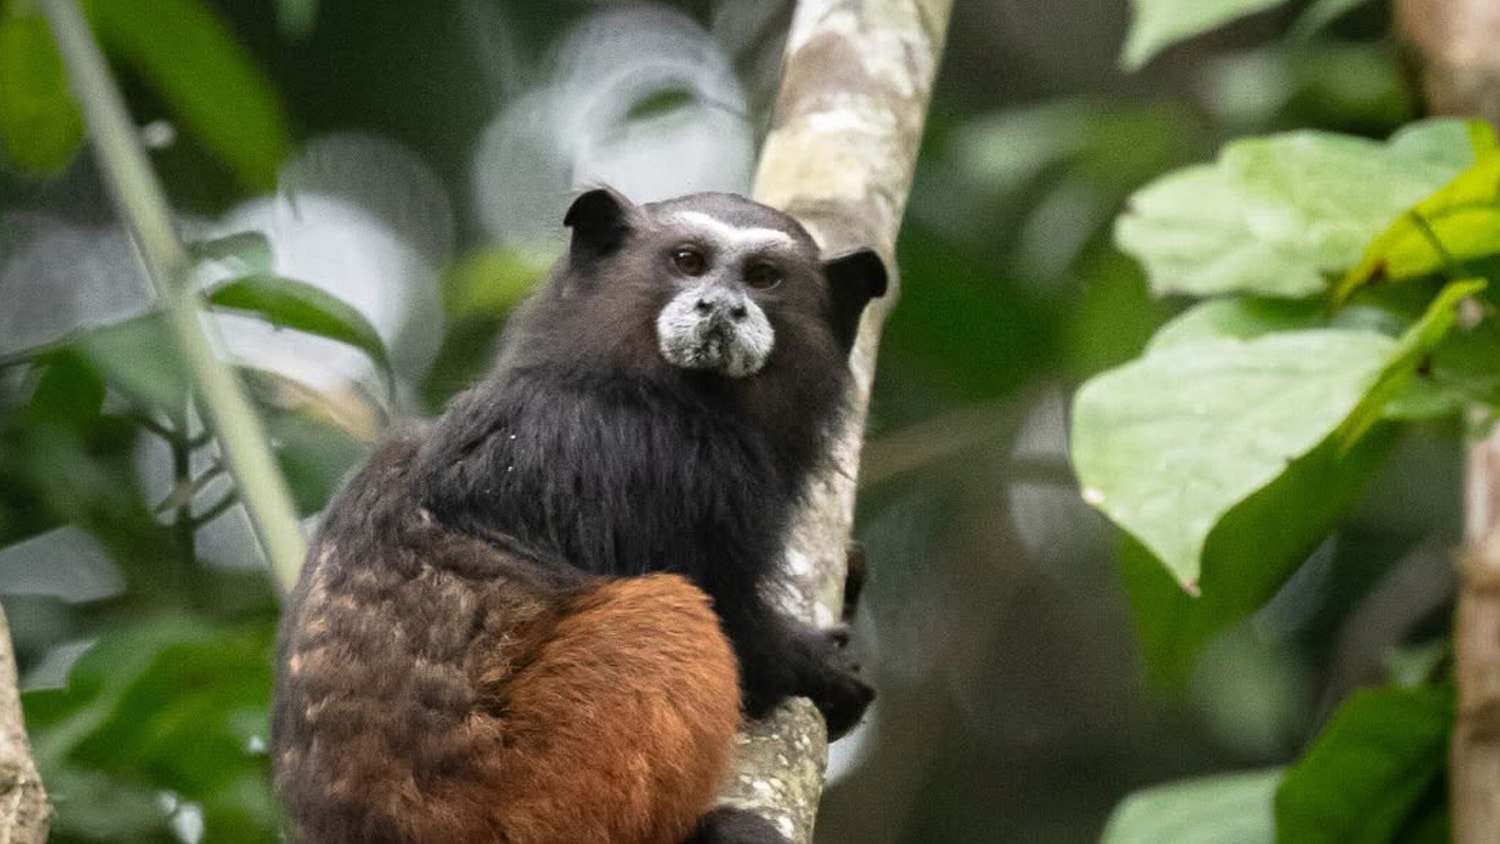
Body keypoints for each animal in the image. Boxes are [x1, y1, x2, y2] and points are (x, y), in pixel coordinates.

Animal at [271, 187, 886, 844]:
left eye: (764, 277)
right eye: (688, 262)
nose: (721, 306)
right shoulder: (652, 454)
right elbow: (735, 622)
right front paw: (813, 664)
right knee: (668, 608)